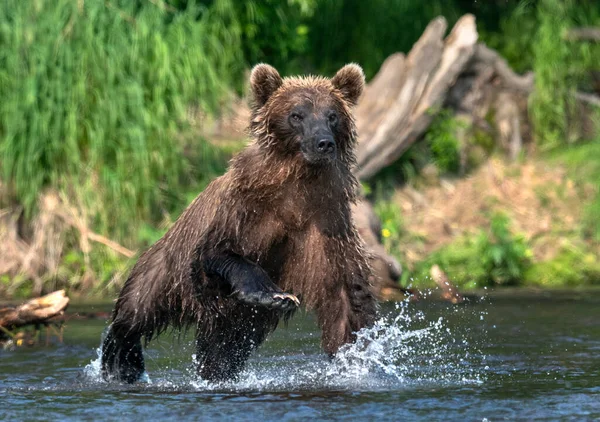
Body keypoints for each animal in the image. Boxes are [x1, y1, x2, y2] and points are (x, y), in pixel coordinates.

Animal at [101, 62, 378, 382]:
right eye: (297, 114)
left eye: (332, 115)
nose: (324, 143)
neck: (297, 185)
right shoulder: (243, 212)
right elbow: (220, 253)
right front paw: (274, 294)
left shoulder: (326, 223)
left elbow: (346, 293)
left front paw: (355, 356)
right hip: (166, 269)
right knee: (137, 308)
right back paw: (121, 360)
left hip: (236, 322)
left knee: (222, 350)